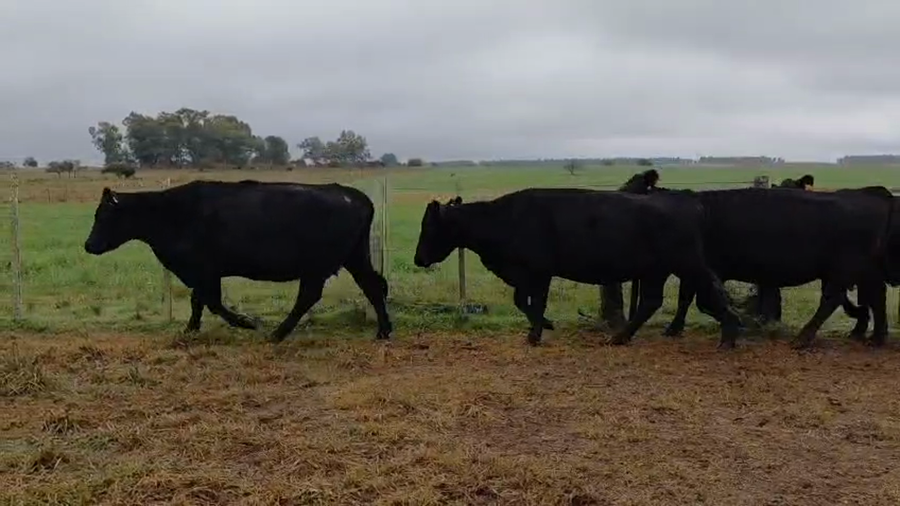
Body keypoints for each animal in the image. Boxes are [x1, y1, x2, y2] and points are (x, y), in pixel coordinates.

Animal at [83, 180, 393, 343]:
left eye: (104, 216)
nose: (88, 245)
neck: (170, 214)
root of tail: (351, 193)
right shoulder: (203, 273)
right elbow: (199, 301)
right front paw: (190, 329)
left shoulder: (205, 270)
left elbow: (213, 303)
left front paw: (246, 322)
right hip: (355, 257)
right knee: (373, 285)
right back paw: (383, 330)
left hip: (317, 266)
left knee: (309, 296)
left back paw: (277, 334)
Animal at [412, 189, 743, 348]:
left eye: (429, 226)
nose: (418, 259)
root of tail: (689, 202)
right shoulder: (528, 274)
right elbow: (522, 301)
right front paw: (544, 326)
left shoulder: (539, 271)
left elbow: (533, 301)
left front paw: (536, 333)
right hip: (656, 271)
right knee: (651, 302)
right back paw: (620, 337)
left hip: (687, 263)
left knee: (712, 289)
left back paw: (729, 335)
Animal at [659, 186, 896, 349]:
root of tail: (871, 195)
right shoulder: (694, 272)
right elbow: (686, 300)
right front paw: (674, 329)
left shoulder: (700, 270)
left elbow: (700, 301)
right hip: (858, 273)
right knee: (873, 298)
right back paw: (875, 336)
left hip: (844, 269)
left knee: (833, 299)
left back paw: (803, 338)